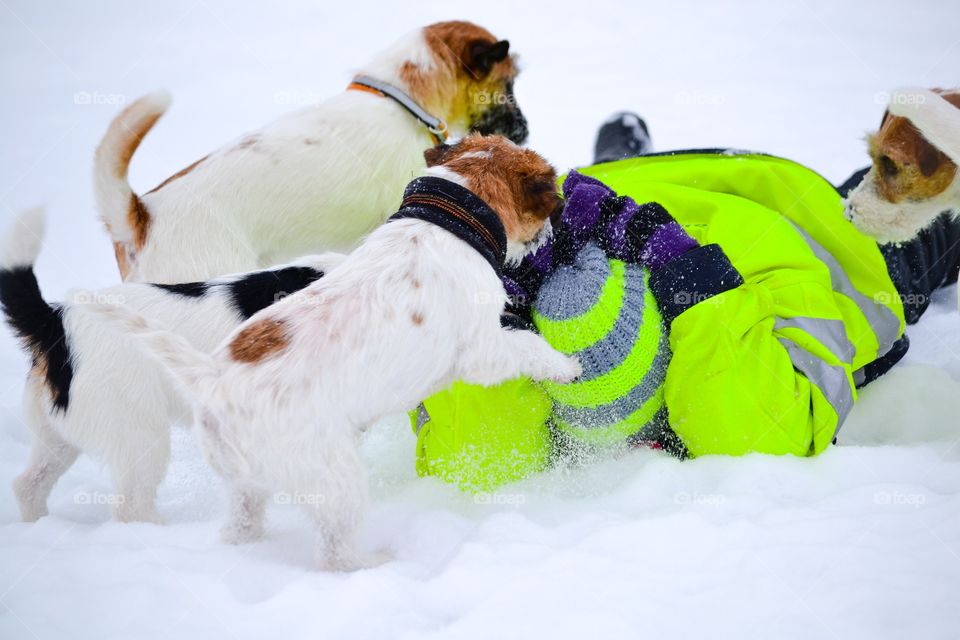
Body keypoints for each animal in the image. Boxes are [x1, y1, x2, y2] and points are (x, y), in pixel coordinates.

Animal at [99, 135, 576, 568]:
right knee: (334, 554)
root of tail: (212, 380)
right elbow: (528, 346)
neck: (446, 220)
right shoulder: (483, 349)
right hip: (336, 480)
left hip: (244, 486)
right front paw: (567, 367)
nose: (553, 231)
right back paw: (374, 564)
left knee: (241, 525)